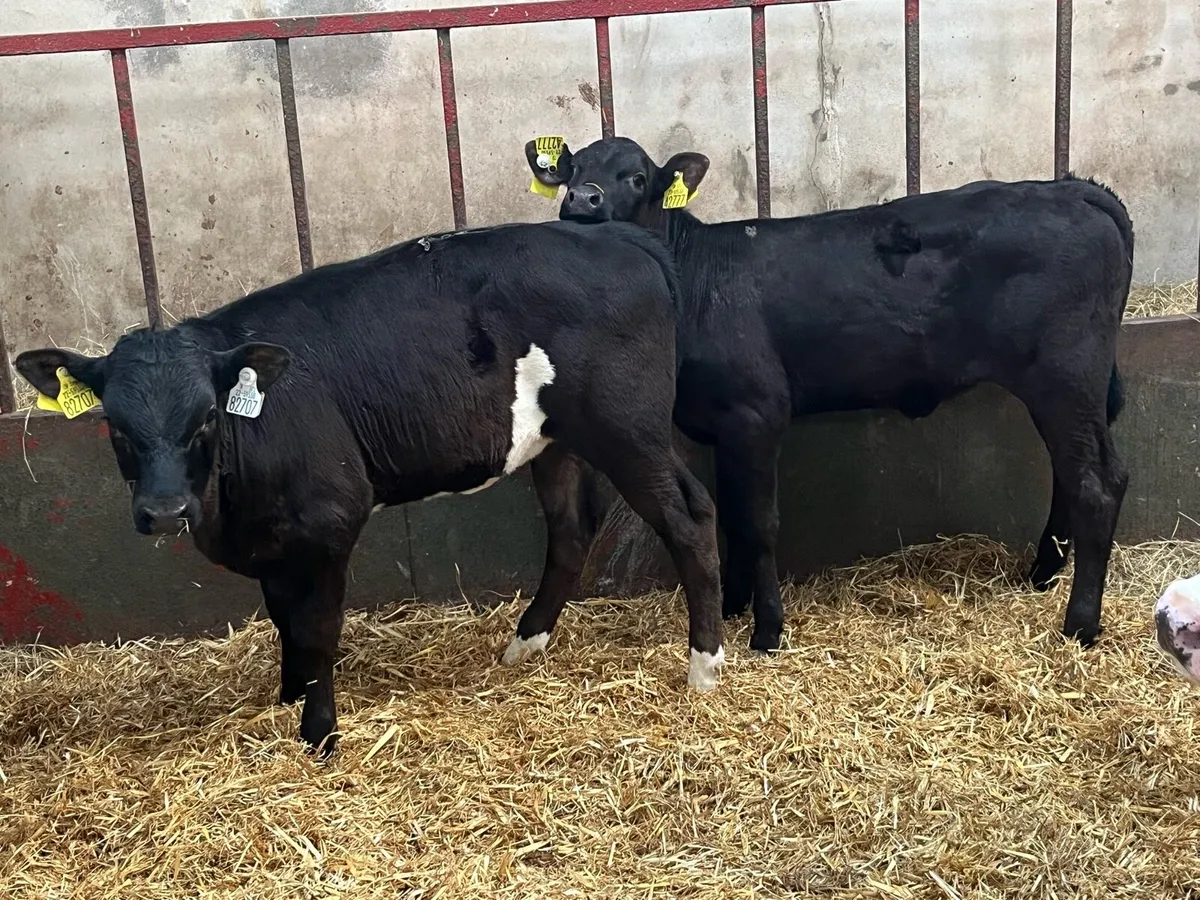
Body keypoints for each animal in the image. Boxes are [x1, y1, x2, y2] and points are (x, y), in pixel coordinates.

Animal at [15, 220, 726, 752]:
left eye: (207, 417)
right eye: (114, 424)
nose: (165, 511)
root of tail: (617, 236)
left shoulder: (330, 520)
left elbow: (316, 626)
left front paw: (319, 732)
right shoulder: (275, 539)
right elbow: (283, 618)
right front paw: (288, 697)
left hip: (627, 429)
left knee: (690, 517)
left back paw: (704, 667)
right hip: (559, 441)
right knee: (572, 531)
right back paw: (523, 647)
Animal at [525, 135, 1133, 654]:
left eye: (635, 177)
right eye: (572, 170)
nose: (583, 199)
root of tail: (1068, 188)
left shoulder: (757, 414)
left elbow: (759, 522)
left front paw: (767, 630)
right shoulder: (723, 425)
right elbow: (730, 516)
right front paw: (733, 606)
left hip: (1066, 374)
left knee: (1097, 484)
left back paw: (1080, 624)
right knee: (1070, 475)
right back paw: (1041, 575)